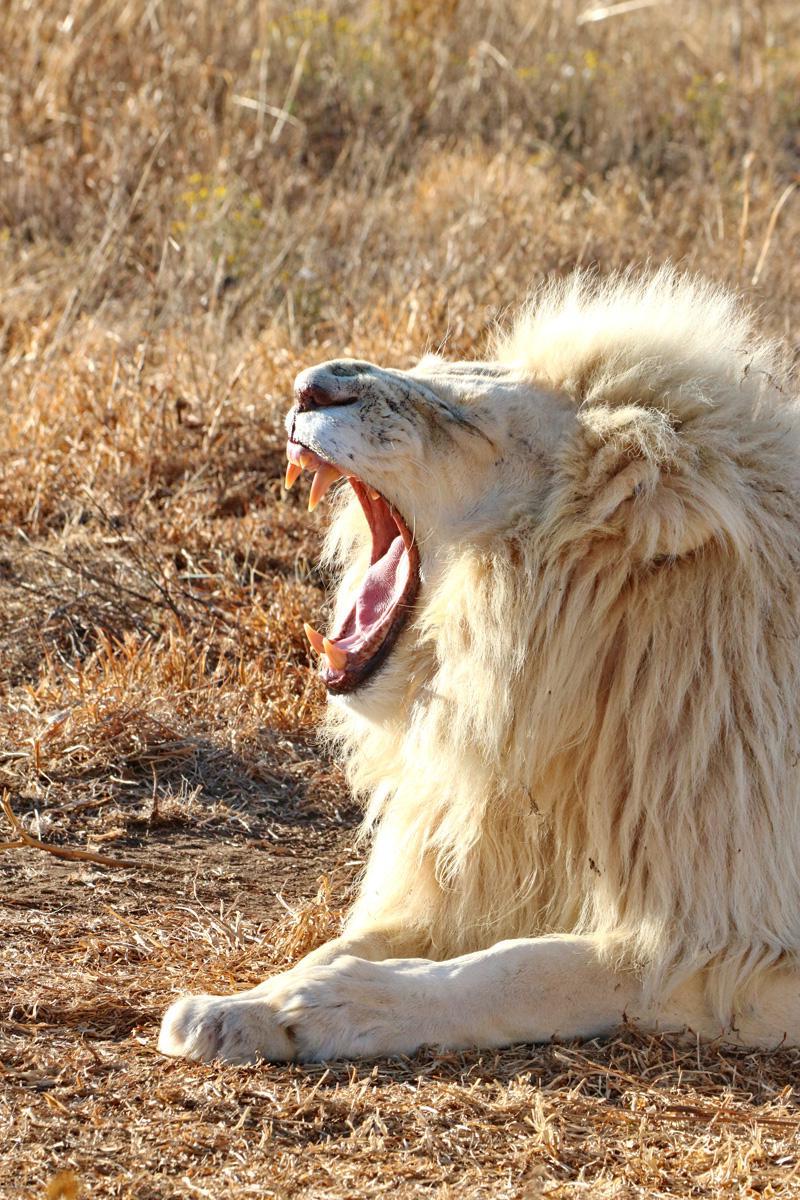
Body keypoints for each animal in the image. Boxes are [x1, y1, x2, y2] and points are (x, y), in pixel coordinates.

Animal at [159, 267, 800, 1064]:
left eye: (460, 416)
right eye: (436, 368)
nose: (309, 387)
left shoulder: (731, 944)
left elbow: (534, 968)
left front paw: (336, 1005)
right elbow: (351, 941)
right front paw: (249, 1004)